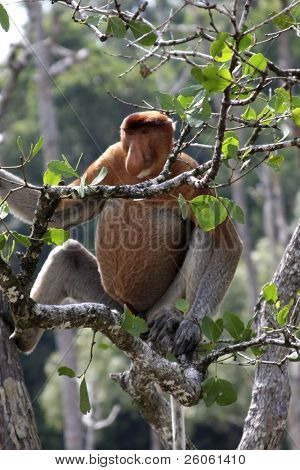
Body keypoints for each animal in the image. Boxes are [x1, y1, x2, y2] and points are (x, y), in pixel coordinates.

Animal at [0, 112, 243, 356]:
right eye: (131, 135)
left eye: (145, 133)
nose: (133, 156)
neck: (149, 176)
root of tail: (139, 316)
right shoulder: (111, 158)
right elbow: (61, 214)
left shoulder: (191, 176)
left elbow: (227, 242)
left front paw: (191, 327)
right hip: (115, 305)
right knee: (68, 255)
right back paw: (23, 332)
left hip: (162, 303)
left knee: (204, 236)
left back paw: (173, 318)